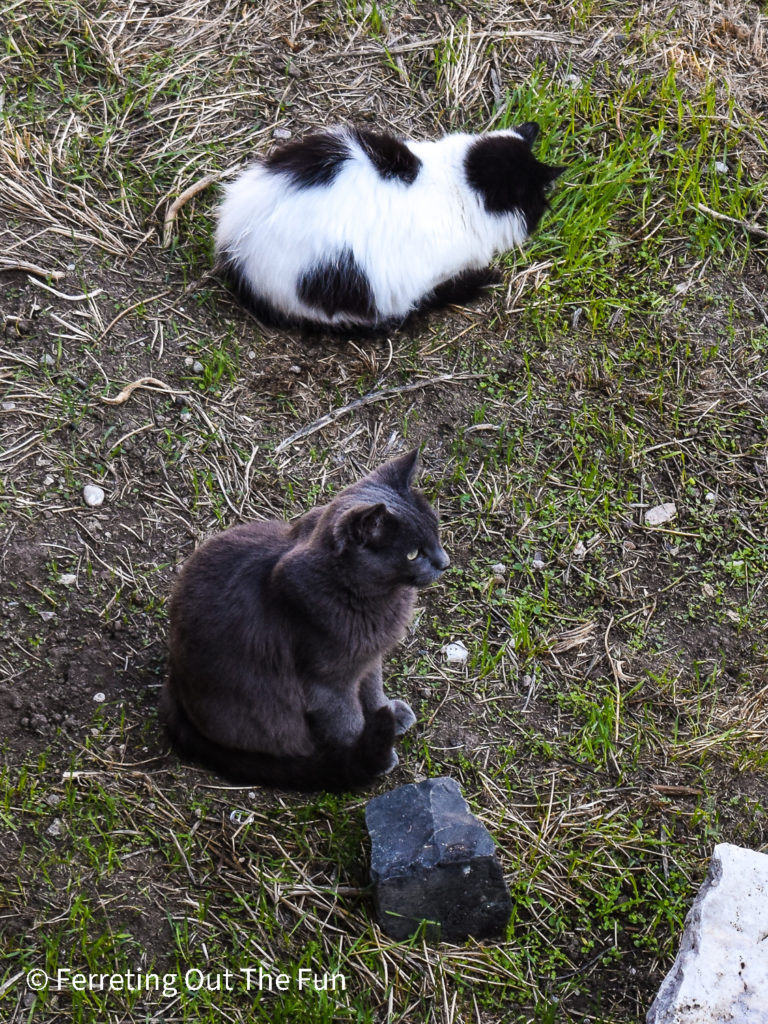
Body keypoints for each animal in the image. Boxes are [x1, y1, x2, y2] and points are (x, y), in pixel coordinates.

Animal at [162, 450, 450, 790]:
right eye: (412, 554)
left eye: (436, 533)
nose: (445, 562)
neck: (377, 598)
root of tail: (174, 692)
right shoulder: (327, 683)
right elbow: (348, 720)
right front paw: (363, 755)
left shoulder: (369, 656)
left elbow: (373, 687)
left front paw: (390, 711)